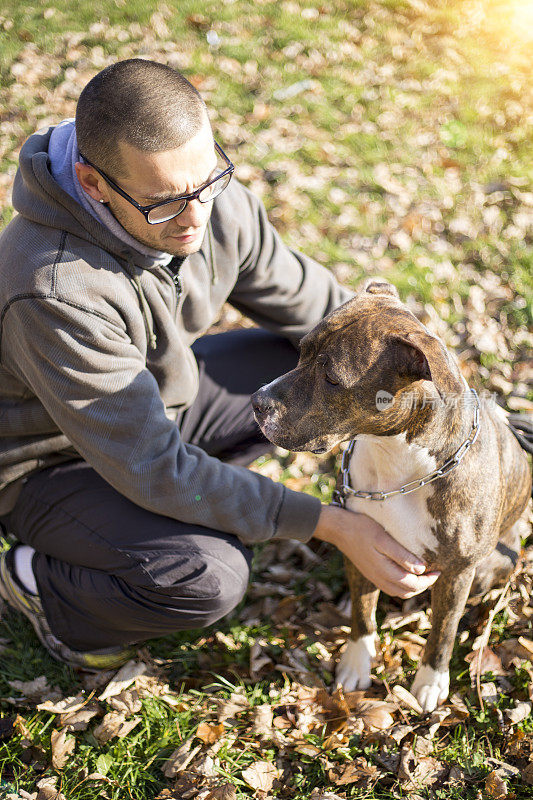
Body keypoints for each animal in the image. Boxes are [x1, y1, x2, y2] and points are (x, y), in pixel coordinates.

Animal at [251, 278, 528, 708]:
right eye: (302, 350)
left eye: (332, 378)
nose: (257, 402)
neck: (396, 460)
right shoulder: (360, 542)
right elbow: (363, 611)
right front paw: (356, 661)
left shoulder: (458, 570)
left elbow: (443, 629)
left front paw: (431, 680)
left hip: (491, 565)